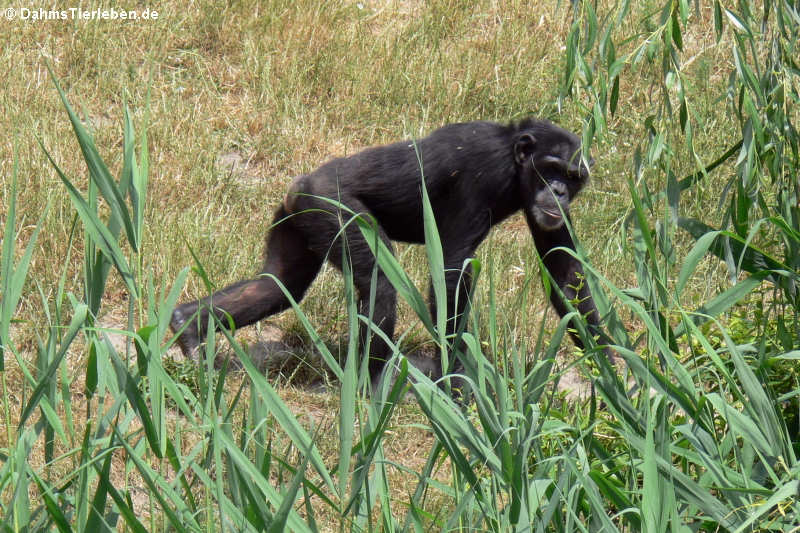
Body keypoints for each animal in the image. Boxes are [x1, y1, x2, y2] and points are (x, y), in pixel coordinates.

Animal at [169, 119, 608, 378]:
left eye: (572, 175)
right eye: (550, 168)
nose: (559, 191)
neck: (515, 169)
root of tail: (299, 186)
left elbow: (564, 274)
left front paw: (613, 371)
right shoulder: (482, 172)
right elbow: (451, 274)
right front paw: (456, 383)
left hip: (299, 222)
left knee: (276, 285)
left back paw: (189, 327)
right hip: (334, 209)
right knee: (379, 281)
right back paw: (372, 386)